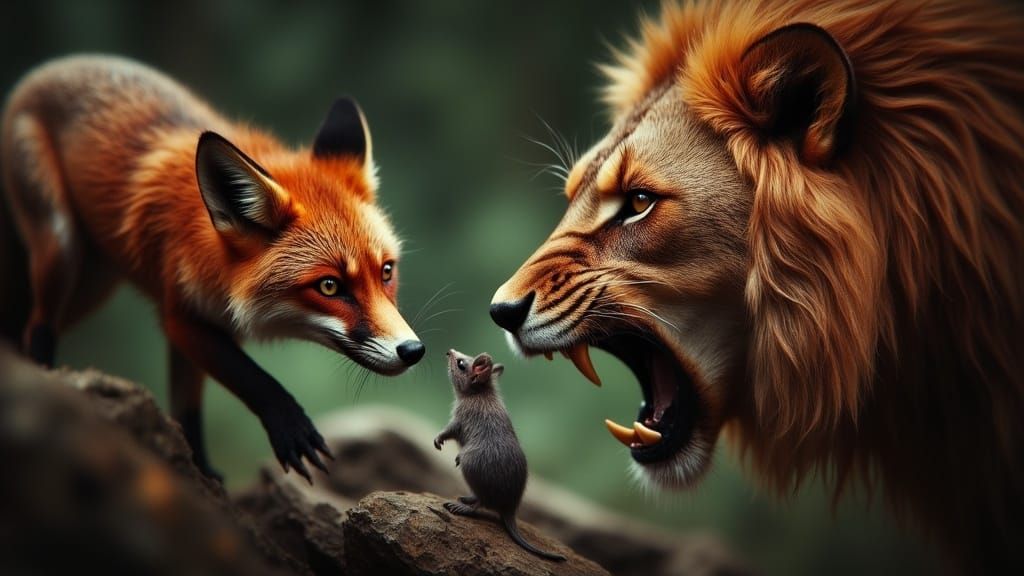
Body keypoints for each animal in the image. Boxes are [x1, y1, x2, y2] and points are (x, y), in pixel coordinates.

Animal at [0, 55, 426, 482]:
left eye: (386, 272)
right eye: (329, 287)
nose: (413, 351)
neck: (220, 269)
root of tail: (55, 66)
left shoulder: (212, 326)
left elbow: (188, 410)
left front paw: (199, 470)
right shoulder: (180, 316)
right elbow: (252, 377)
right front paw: (290, 426)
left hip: (93, 287)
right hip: (61, 249)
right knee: (38, 325)